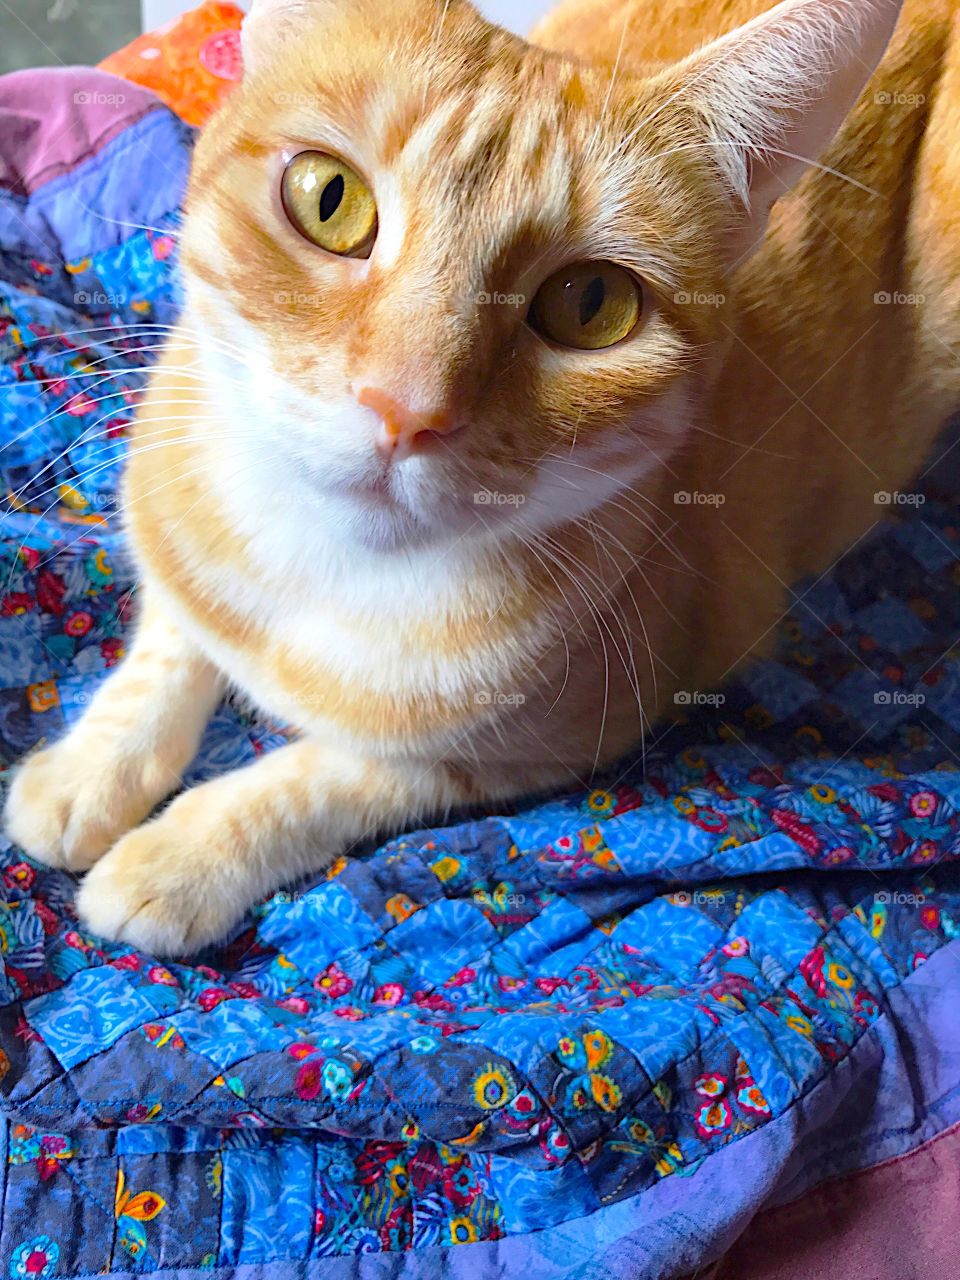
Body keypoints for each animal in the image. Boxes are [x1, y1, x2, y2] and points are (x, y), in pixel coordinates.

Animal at [5, 0, 957, 952]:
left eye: (591, 304)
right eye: (328, 198)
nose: (404, 406)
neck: (315, 577)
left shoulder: (543, 745)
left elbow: (323, 778)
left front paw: (177, 860)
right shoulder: (177, 530)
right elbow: (171, 643)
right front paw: (89, 771)